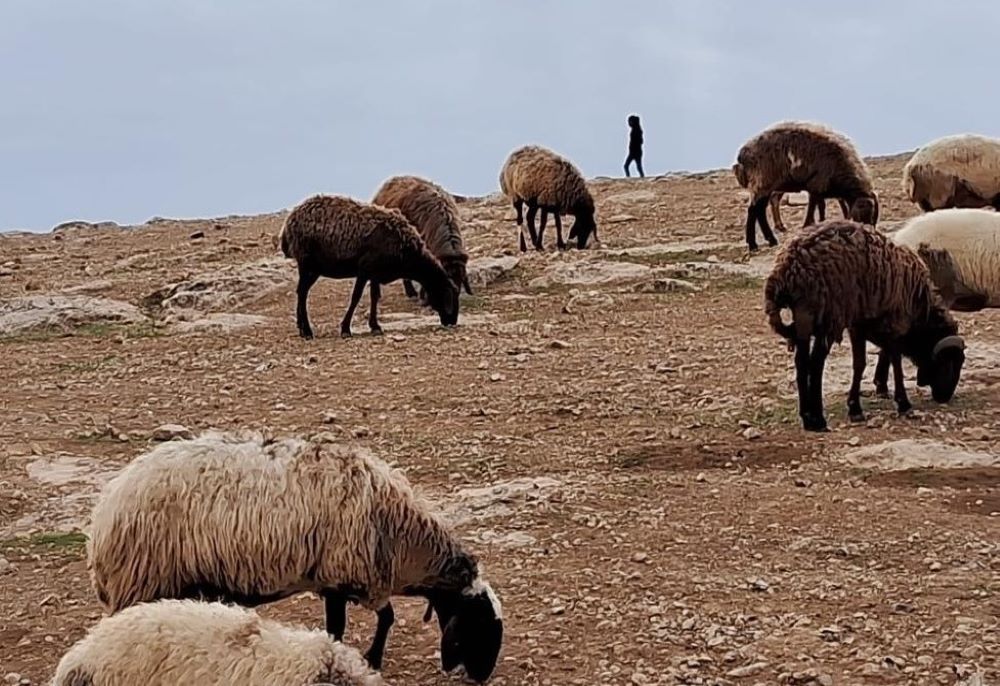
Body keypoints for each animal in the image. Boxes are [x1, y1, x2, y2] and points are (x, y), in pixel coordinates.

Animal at [86, 432, 504, 684]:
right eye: (481, 624)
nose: (482, 677)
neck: (397, 534)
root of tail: (108, 506)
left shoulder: (344, 579)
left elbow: (381, 618)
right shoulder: (342, 575)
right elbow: (363, 622)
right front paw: (368, 657)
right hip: (144, 577)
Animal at [278, 195, 458, 340]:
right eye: (446, 294)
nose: (452, 321)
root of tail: (289, 222)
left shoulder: (375, 273)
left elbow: (374, 297)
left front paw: (375, 326)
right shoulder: (364, 269)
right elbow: (356, 297)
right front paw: (345, 329)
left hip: (310, 267)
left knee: (301, 292)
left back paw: (302, 328)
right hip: (307, 264)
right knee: (302, 293)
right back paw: (307, 331)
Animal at [732, 121, 880, 253]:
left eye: (873, 215)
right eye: (861, 208)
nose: (868, 234)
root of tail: (742, 155)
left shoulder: (822, 190)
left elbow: (821, 206)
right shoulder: (816, 185)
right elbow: (813, 207)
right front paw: (808, 225)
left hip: (765, 186)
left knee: (758, 210)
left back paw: (767, 241)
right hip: (763, 183)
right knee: (754, 210)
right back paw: (755, 244)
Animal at [760, 220, 964, 432]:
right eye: (948, 361)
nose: (945, 397)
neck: (920, 309)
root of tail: (787, 269)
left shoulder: (858, 325)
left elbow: (860, 364)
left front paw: (855, 408)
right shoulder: (894, 323)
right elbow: (896, 361)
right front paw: (903, 403)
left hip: (805, 318)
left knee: (802, 362)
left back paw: (807, 417)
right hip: (826, 316)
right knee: (816, 363)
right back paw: (817, 419)